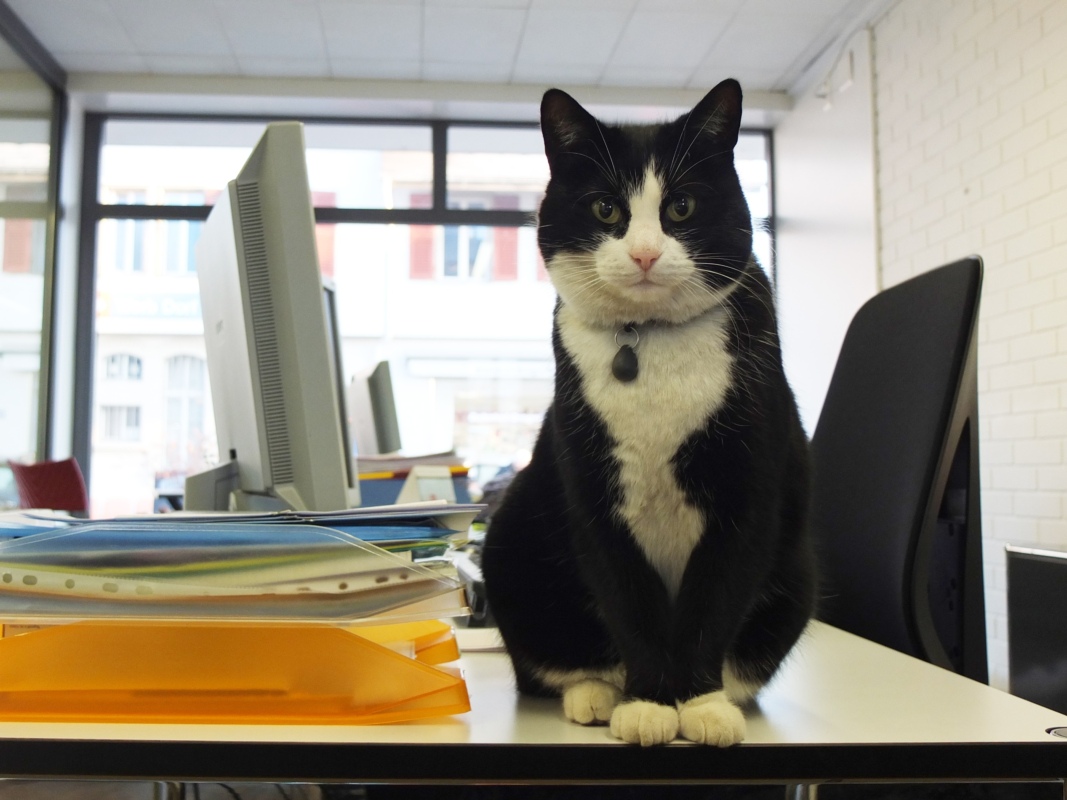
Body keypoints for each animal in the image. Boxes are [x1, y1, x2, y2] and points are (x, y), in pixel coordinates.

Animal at [480, 79, 817, 747]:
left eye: (681, 207)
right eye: (606, 209)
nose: (642, 255)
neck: (650, 340)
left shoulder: (747, 491)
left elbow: (716, 596)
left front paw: (698, 702)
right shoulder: (591, 493)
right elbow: (625, 596)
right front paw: (648, 703)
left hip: (798, 571)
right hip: (509, 541)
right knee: (548, 665)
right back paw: (597, 693)